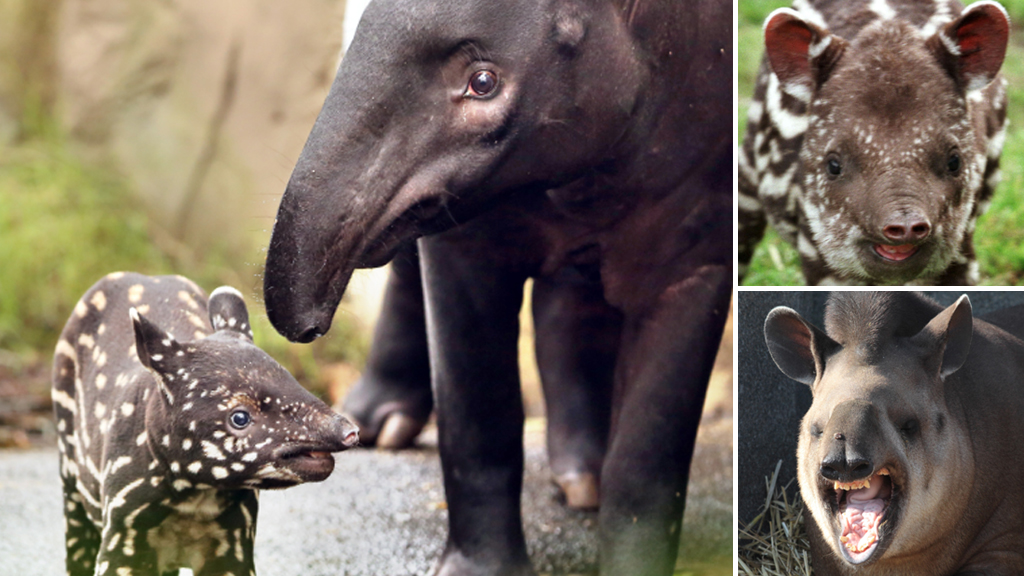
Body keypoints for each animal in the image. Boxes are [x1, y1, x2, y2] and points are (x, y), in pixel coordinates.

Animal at [50, 272, 360, 573]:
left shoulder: (233, 541)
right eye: (239, 417)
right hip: (69, 465)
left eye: (293, 381)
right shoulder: (123, 531)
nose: (350, 432)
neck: (194, 496)